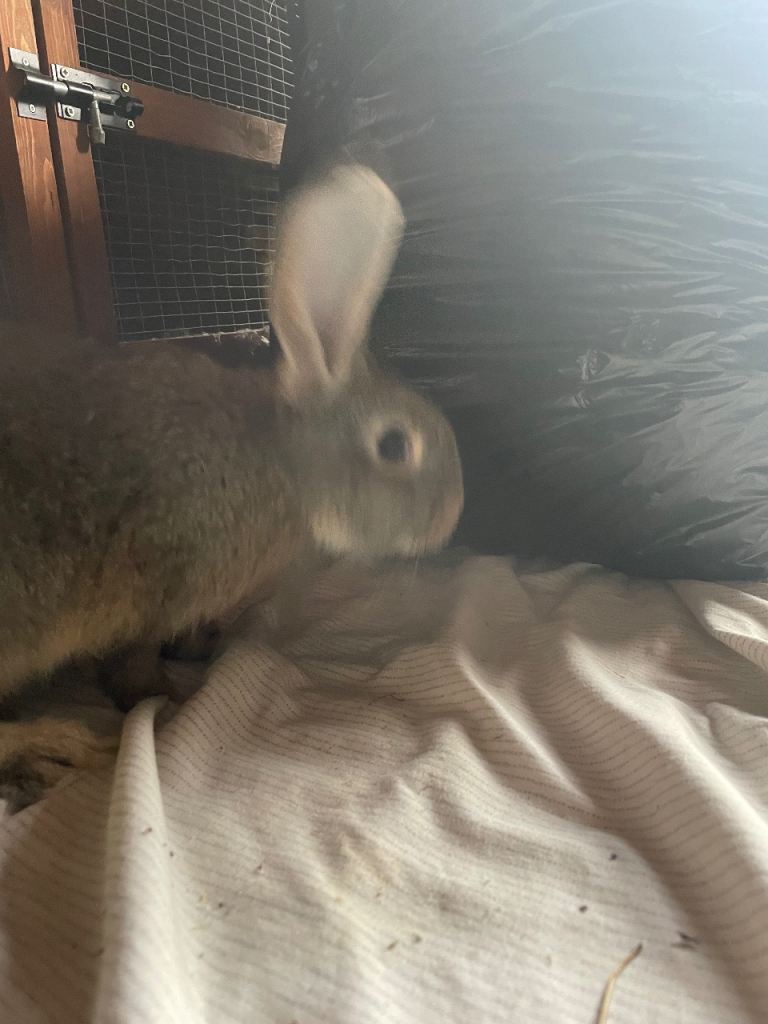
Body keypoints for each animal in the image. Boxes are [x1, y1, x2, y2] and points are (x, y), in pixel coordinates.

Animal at [0, 163, 464, 806]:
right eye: (395, 446)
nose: (453, 514)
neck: (283, 464)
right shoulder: (161, 589)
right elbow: (133, 662)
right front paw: (167, 697)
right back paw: (57, 743)